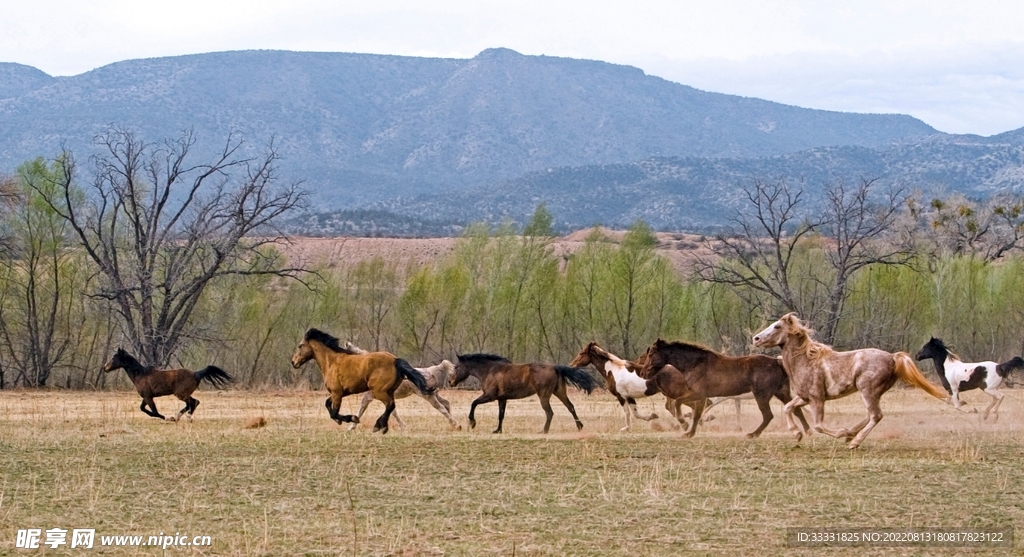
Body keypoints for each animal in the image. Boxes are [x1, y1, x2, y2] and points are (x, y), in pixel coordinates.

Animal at [102, 348, 233, 421]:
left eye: (114, 357)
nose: (105, 368)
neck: (140, 375)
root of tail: (196, 373)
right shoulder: (146, 397)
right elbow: (143, 409)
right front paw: (169, 417)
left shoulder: (148, 397)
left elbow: (154, 412)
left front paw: (166, 417)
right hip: (183, 394)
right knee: (191, 403)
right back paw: (179, 417)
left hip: (180, 394)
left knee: (193, 402)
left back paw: (186, 417)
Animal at [290, 328, 433, 433]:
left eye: (300, 346)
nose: (293, 362)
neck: (331, 362)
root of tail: (395, 360)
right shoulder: (339, 393)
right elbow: (327, 405)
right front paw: (341, 421)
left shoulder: (337, 393)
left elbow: (334, 412)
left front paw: (352, 419)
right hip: (389, 391)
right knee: (391, 406)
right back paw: (382, 426)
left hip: (379, 391)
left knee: (390, 405)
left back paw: (378, 426)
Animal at [449, 353, 600, 433]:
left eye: (456, 367)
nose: (451, 381)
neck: (490, 370)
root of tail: (555, 367)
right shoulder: (502, 399)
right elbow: (501, 415)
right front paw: (498, 430)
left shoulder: (489, 396)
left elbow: (473, 403)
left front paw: (472, 422)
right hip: (559, 392)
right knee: (571, 407)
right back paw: (579, 427)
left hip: (544, 396)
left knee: (550, 413)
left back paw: (544, 431)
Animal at [641, 339, 809, 439]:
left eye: (651, 354)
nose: (642, 373)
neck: (694, 364)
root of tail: (778, 362)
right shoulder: (701, 397)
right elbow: (696, 415)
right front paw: (690, 433)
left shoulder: (697, 394)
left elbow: (678, 404)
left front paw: (684, 424)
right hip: (781, 393)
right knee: (796, 410)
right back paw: (806, 431)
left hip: (762, 396)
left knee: (768, 415)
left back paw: (753, 434)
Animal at [753, 313, 948, 449]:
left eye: (777, 326)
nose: (756, 338)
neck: (806, 360)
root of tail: (892, 357)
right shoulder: (804, 397)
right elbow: (788, 408)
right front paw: (796, 434)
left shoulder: (817, 399)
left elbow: (818, 425)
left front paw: (840, 433)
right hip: (874, 392)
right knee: (871, 415)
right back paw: (851, 434)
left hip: (867, 390)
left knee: (876, 415)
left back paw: (854, 441)